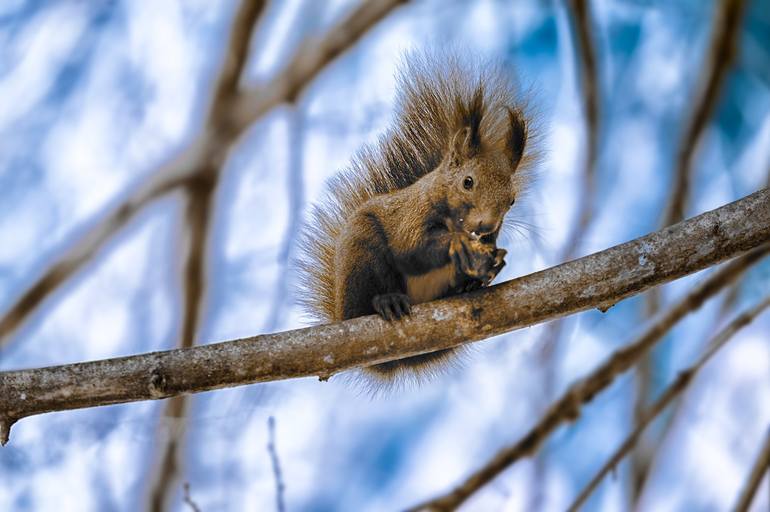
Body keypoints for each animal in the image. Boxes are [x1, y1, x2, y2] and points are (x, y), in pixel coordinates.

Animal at [292, 53, 528, 384]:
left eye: (511, 200)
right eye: (468, 182)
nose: (485, 226)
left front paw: (493, 265)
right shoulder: (411, 215)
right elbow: (413, 250)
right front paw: (458, 246)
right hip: (361, 254)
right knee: (364, 303)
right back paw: (385, 301)